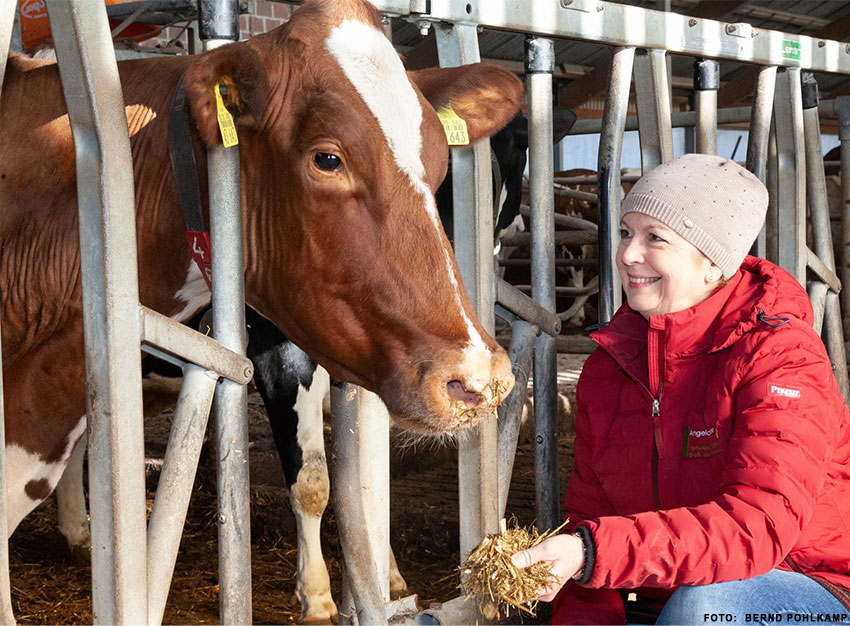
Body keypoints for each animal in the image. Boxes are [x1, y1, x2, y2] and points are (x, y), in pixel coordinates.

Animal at [0, 0, 520, 616]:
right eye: (327, 158)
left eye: (442, 165)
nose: (479, 378)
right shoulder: (282, 353)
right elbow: (316, 481)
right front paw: (318, 598)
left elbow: (368, 481)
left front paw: (387, 580)